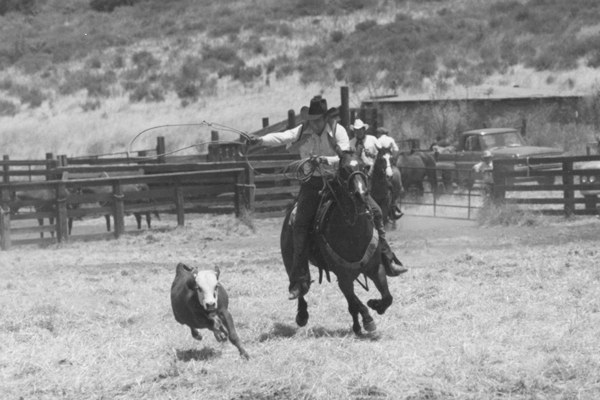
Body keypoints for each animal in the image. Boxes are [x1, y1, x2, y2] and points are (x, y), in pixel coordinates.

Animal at [282, 150, 394, 334]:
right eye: (343, 170)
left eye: (365, 167)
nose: (361, 194)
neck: (354, 231)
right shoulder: (343, 276)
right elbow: (355, 301)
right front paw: (368, 318)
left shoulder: (376, 268)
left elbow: (387, 297)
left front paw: (375, 305)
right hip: (290, 257)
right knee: (299, 282)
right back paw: (302, 313)